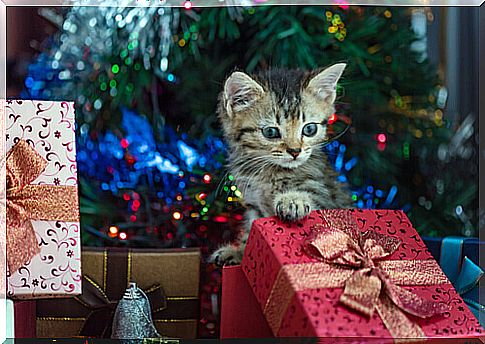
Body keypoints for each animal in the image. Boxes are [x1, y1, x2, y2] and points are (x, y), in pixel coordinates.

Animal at [212, 63, 352, 266]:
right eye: (270, 132)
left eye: (310, 129)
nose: (295, 151)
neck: (269, 173)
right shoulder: (254, 205)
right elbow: (251, 231)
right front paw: (239, 252)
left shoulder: (326, 194)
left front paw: (293, 200)